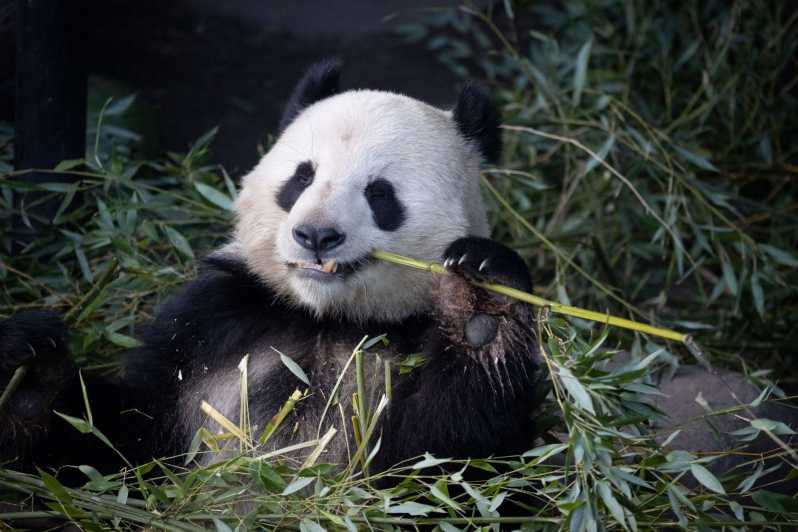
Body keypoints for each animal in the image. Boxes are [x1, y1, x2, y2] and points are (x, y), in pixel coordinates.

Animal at [0, 60, 544, 474]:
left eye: (380, 193)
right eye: (301, 177)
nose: (316, 236)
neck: (328, 318)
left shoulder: (404, 351)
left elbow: (454, 453)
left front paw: (482, 306)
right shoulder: (212, 324)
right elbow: (120, 436)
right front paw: (29, 371)